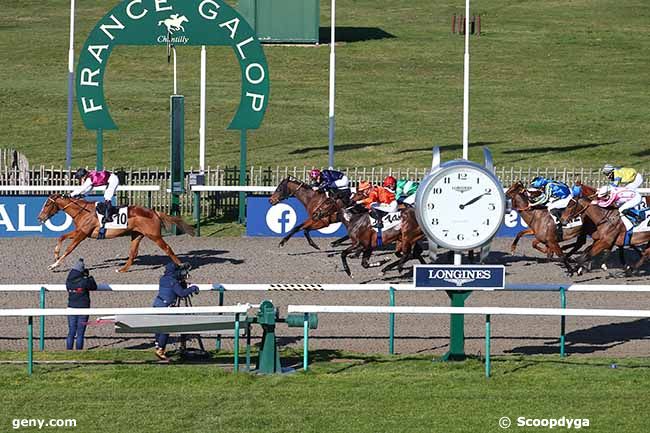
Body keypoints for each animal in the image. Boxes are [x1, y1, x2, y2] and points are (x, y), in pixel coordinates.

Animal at [37, 194, 194, 272]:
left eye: (47, 204)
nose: (39, 218)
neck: (83, 211)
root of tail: (154, 212)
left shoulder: (83, 234)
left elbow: (70, 248)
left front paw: (55, 265)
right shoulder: (81, 231)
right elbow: (61, 236)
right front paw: (55, 256)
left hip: (154, 235)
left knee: (167, 248)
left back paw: (182, 266)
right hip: (137, 234)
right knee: (133, 253)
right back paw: (123, 269)